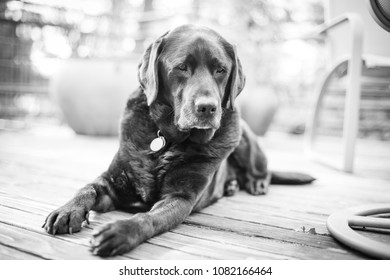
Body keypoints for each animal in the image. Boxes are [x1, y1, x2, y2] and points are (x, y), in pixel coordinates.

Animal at [42, 25, 314, 258]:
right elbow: (86, 188)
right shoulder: (112, 182)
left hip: (245, 136)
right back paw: (231, 185)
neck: (166, 139)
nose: (208, 107)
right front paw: (67, 211)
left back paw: (255, 183)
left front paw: (121, 231)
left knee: (261, 169)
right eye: (182, 67)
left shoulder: (180, 197)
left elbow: (147, 217)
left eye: (221, 70)